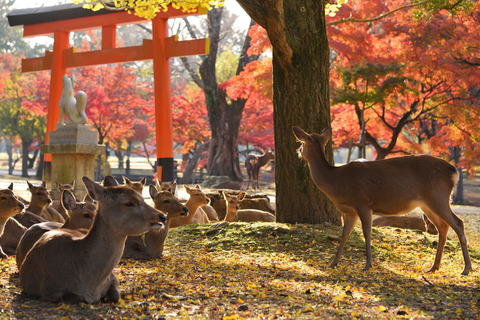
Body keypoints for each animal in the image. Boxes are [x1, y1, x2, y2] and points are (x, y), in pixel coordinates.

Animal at [18, 176, 168, 304]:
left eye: (142, 197)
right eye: (129, 203)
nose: (162, 216)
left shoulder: (112, 278)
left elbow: (115, 295)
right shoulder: (49, 289)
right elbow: (78, 298)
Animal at [292, 125, 472, 276]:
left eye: (302, 143)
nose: (297, 151)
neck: (336, 183)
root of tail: (454, 171)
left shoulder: (363, 203)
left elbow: (367, 232)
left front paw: (367, 265)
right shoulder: (349, 212)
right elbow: (344, 235)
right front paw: (333, 263)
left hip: (438, 197)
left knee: (458, 223)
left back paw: (466, 269)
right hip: (426, 204)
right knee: (443, 227)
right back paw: (434, 267)